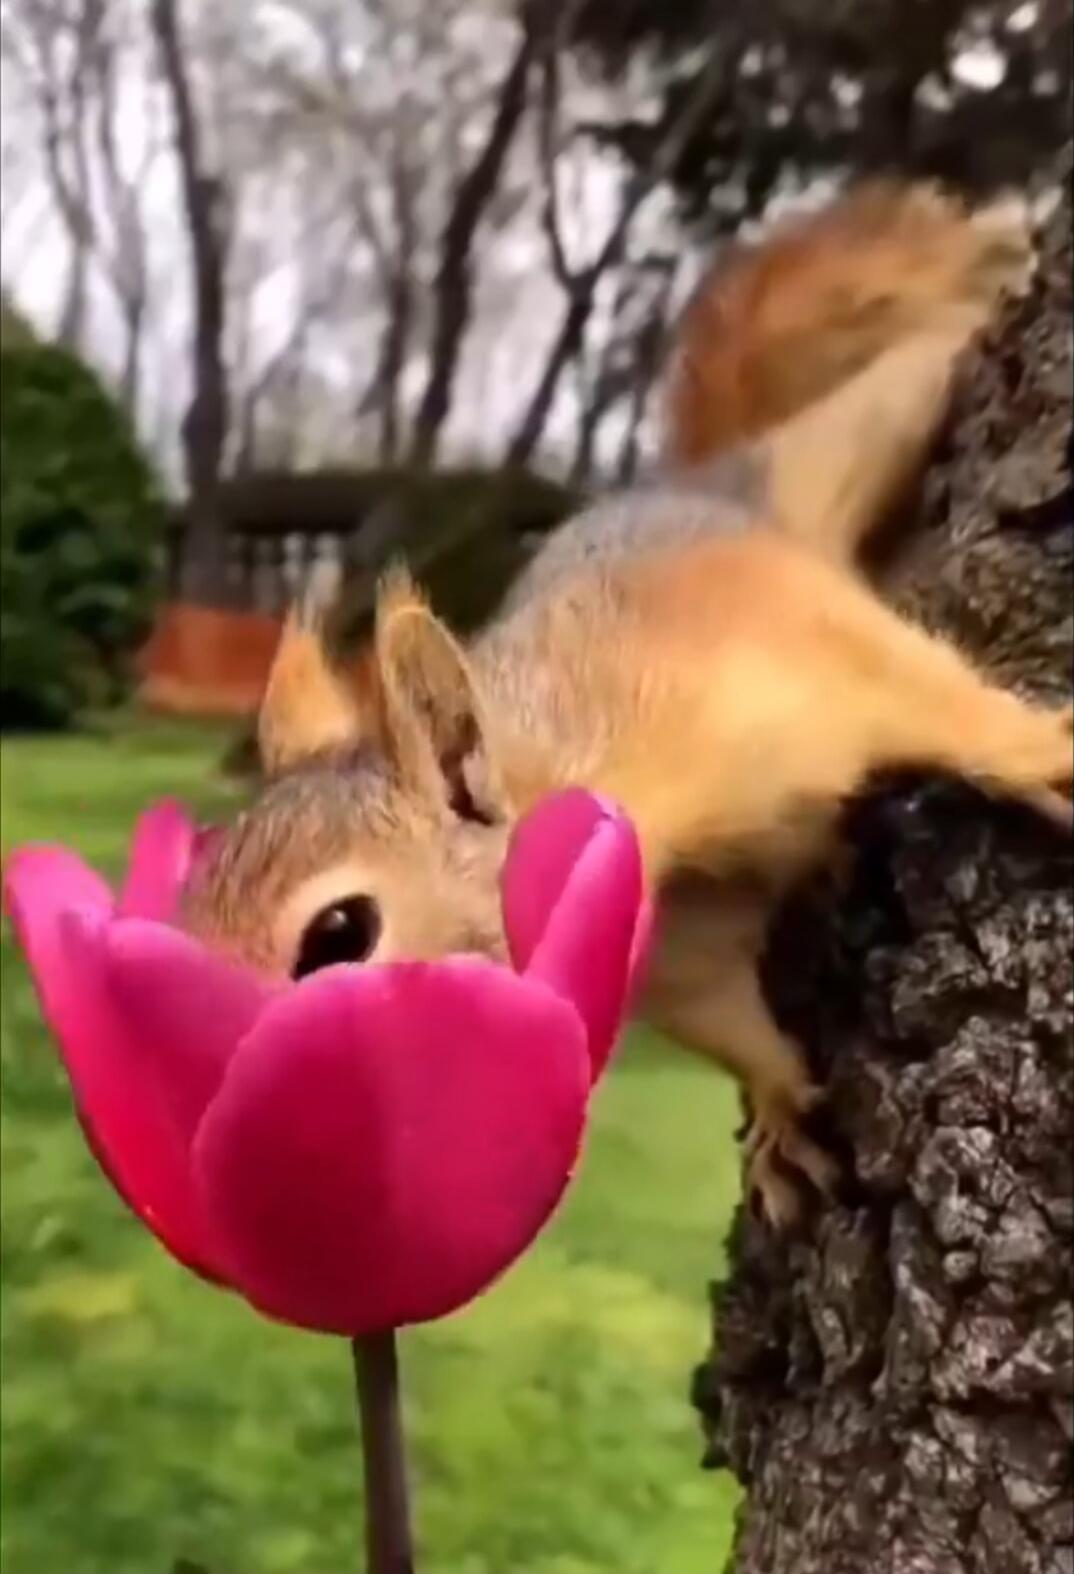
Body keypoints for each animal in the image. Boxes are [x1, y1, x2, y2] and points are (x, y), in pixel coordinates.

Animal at [183, 181, 1073, 1227]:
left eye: (338, 936)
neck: (577, 765)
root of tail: (703, 489)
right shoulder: (681, 937)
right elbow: (725, 1009)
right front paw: (779, 1106)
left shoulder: (776, 662)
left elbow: (921, 694)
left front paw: (1041, 754)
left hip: (851, 446)